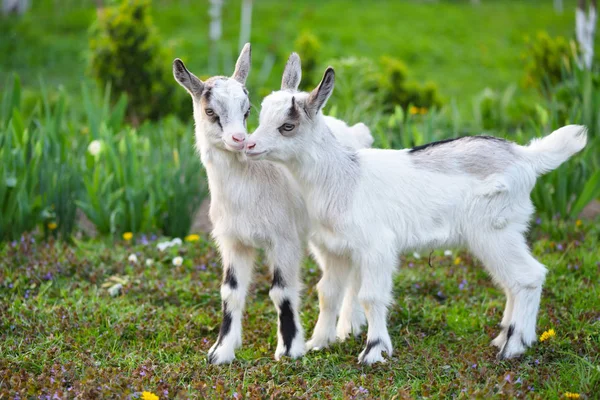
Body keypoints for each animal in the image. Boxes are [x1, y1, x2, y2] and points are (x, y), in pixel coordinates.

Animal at [171, 46, 372, 362]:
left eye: (246, 110)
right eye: (210, 111)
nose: (239, 139)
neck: (251, 184)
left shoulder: (283, 239)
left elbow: (282, 292)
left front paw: (289, 351)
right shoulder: (233, 242)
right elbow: (230, 291)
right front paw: (220, 352)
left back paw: (348, 327)